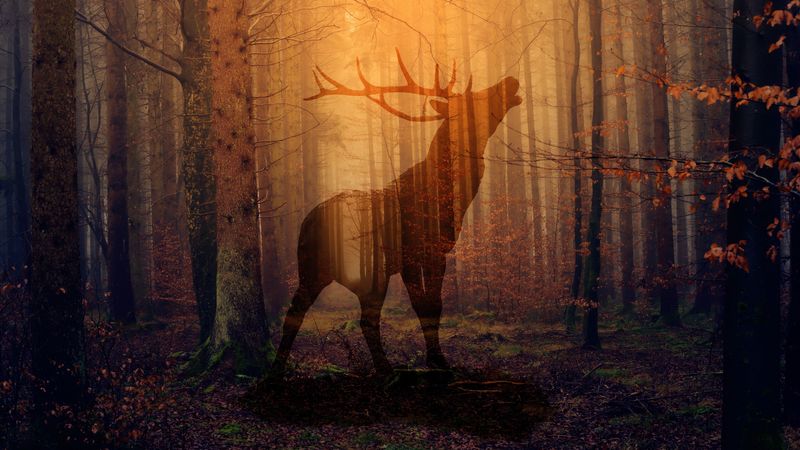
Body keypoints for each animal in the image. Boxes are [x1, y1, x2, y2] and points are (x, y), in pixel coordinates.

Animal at [270, 50, 522, 377]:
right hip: (355, 268)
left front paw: (436, 359)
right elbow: (427, 306)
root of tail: (306, 223)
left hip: (318, 269)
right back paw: (383, 370)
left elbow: (432, 305)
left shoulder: (434, 252)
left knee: (312, 313)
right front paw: (438, 362)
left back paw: (279, 369)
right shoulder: (416, 251)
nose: (512, 79)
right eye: (475, 98)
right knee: (353, 317)